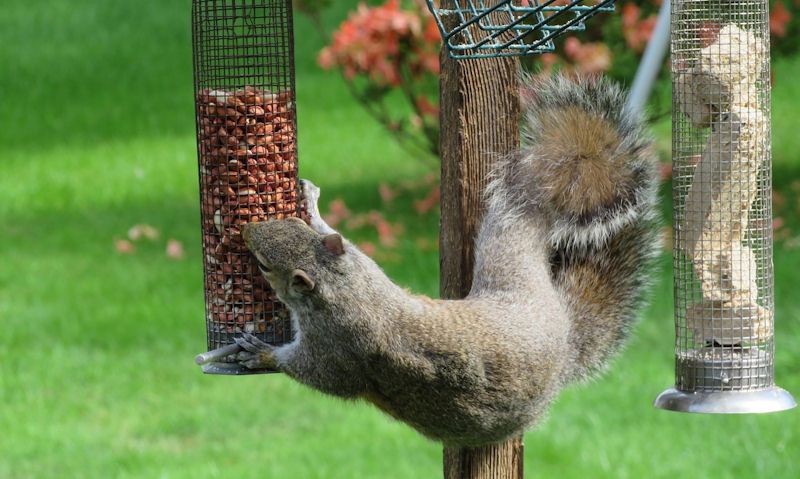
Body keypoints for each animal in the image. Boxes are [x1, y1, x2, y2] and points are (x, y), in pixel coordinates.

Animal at [234, 74, 660, 446]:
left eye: (264, 264)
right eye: (289, 225)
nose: (246, 232)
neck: (340, 284)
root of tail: (562, 335)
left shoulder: (336, 346)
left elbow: (317, 374)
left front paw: (261, 353)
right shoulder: (362, 265)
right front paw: (311, 204)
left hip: (505, 260)